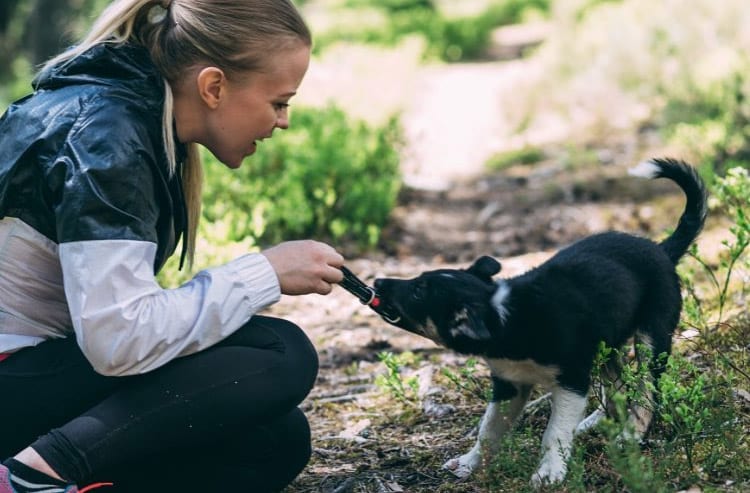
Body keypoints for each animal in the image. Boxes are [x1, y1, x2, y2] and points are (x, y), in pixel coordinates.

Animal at [376, 159, 712, 484]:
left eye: (418, 291)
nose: (378, 282)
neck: (502, 316)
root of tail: (661, 248)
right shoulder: (509, 384)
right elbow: (489, 430)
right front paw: (470, 464)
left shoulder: (572, 380)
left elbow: (554, 433)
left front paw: (550, 473)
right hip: (607, 345)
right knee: (616, 386)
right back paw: (596, 423)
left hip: (652, 336)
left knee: (646, 391)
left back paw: (631, 433)